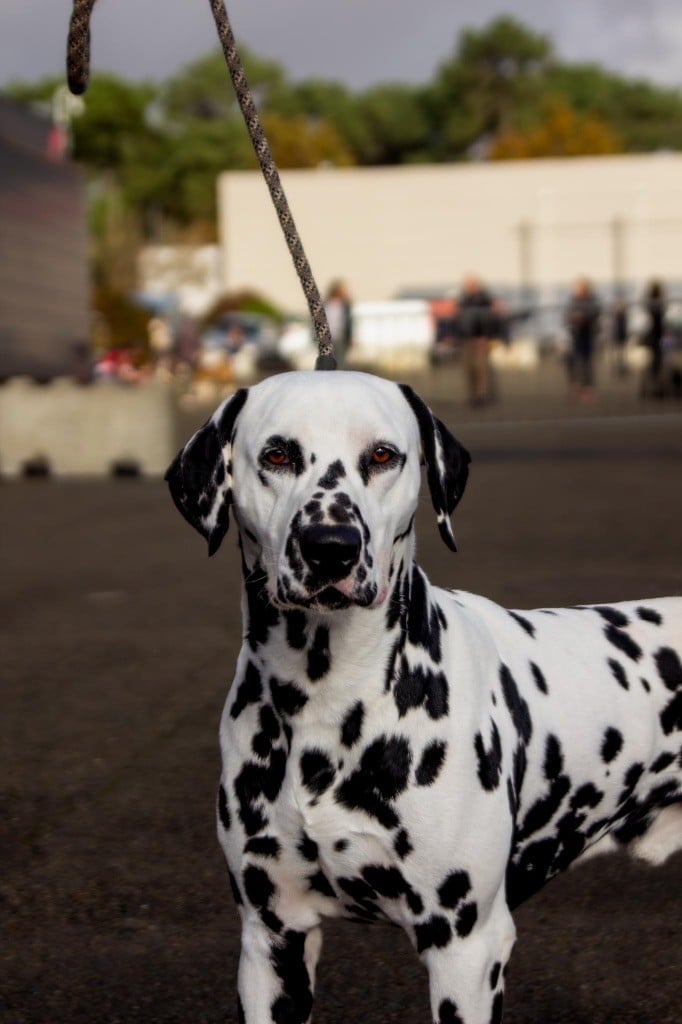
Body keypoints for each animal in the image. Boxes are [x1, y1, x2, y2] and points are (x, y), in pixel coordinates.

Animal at [165, 372, 679, 1024]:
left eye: (383, 455)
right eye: (277, 455)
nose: (329, 545)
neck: (327, 701)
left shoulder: (465, 946)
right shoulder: (272, 941)